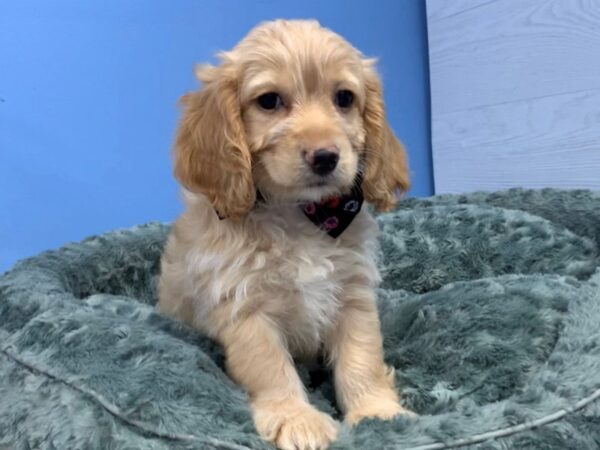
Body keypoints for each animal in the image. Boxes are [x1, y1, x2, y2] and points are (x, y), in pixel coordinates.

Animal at [158, 19, 412, 448]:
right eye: (269, 101)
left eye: (344, 98)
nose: (325, 157)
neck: (300, 215)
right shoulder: (244, 306)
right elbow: (270, 366)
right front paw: (297, 418)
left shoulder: (354, 296)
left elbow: (362, 358)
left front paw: (377, 412)